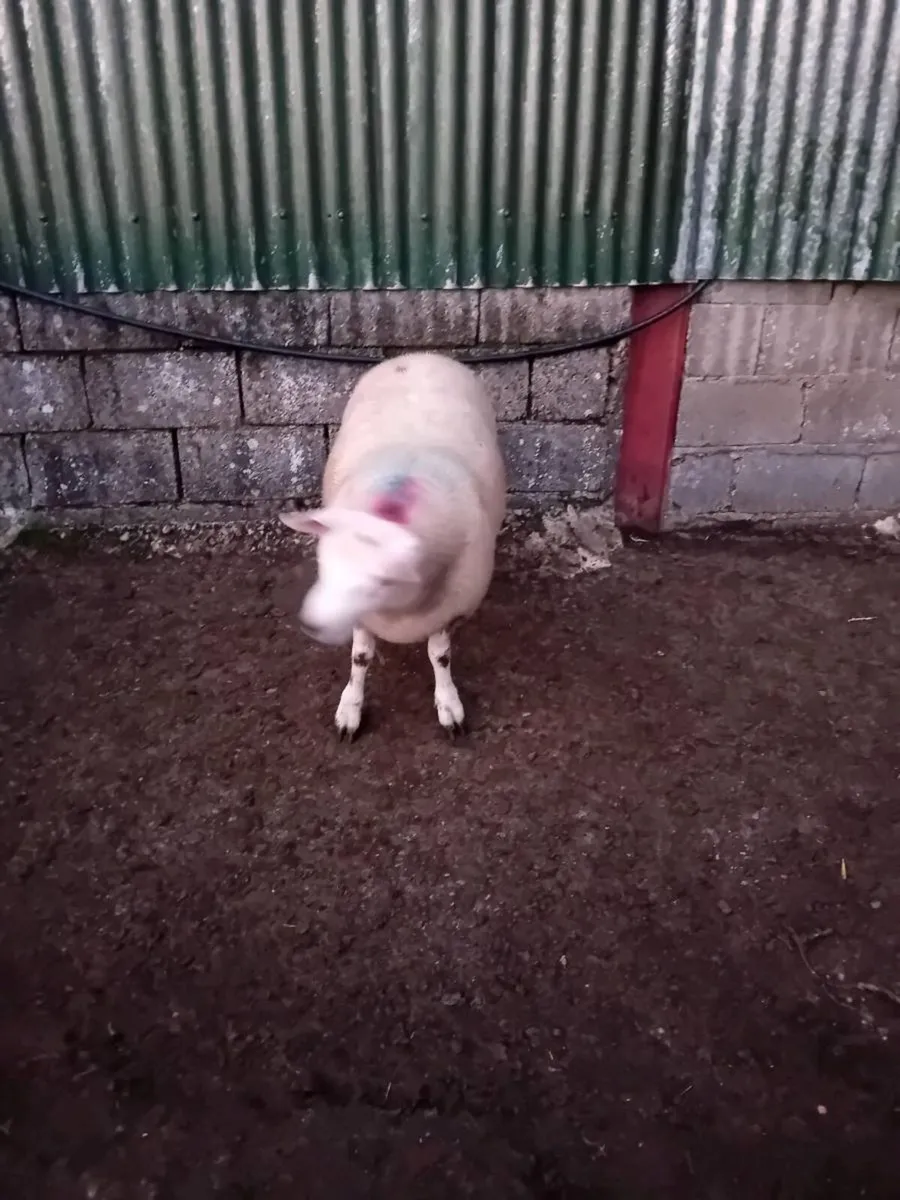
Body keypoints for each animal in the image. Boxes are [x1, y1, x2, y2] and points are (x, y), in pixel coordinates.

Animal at [279, 351, 506, 740]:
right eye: (323, 563)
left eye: (382, 580)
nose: (311, 624)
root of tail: (420, 355)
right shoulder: (362, 617)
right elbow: (360, 658)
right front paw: (350, 708)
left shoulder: (451, 611)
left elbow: (440, 656)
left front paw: (448, 703)